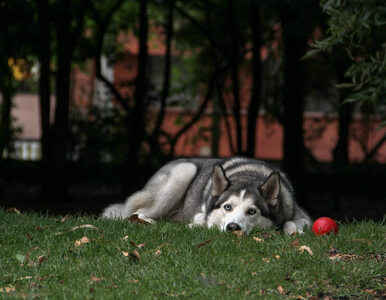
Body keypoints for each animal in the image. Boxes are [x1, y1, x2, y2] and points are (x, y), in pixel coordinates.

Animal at [102, 157, 310, 234]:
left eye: (252, 211)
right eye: (227, 207)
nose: (233, 227)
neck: (248, 176)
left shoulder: (302, 216)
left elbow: (291, 222)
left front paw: (293, 231)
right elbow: (203, 219)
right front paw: (199, 222)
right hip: (182, 171)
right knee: (134, 211)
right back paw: (146, 220)